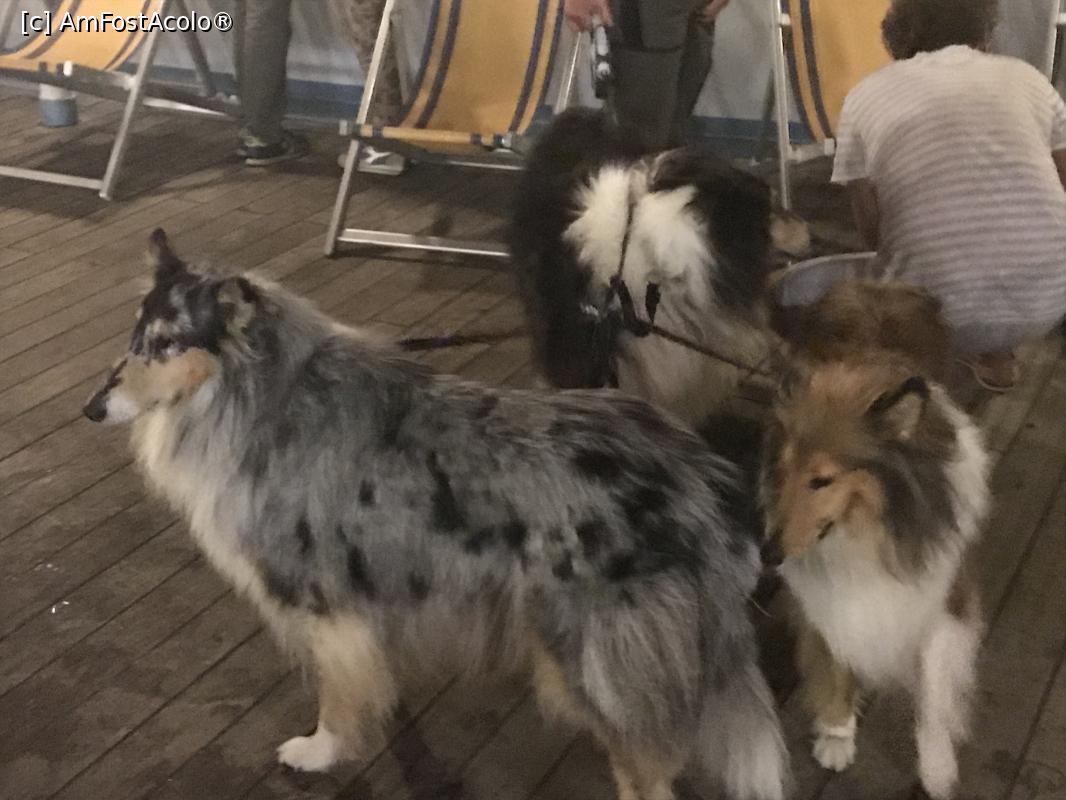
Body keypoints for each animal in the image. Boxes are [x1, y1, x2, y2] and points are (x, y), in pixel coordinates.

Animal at [82, 230, 788, 800]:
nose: (92, 409)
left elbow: (336, 697)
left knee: (648, 770)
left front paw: (319, 752)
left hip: (595, 659)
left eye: (167, 345)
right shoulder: (358, 609)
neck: (256, 397)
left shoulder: (321, 599)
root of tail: (699, 480)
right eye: (134, 339)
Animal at [760, 355, 989, 799]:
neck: (867, 532)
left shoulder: (942, 603)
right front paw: (837, 735)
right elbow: (836, 665)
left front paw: (936, 766)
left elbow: (933, 691)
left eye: (822, 480)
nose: (768, 553)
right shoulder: (824, 602)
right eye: (782, 467)